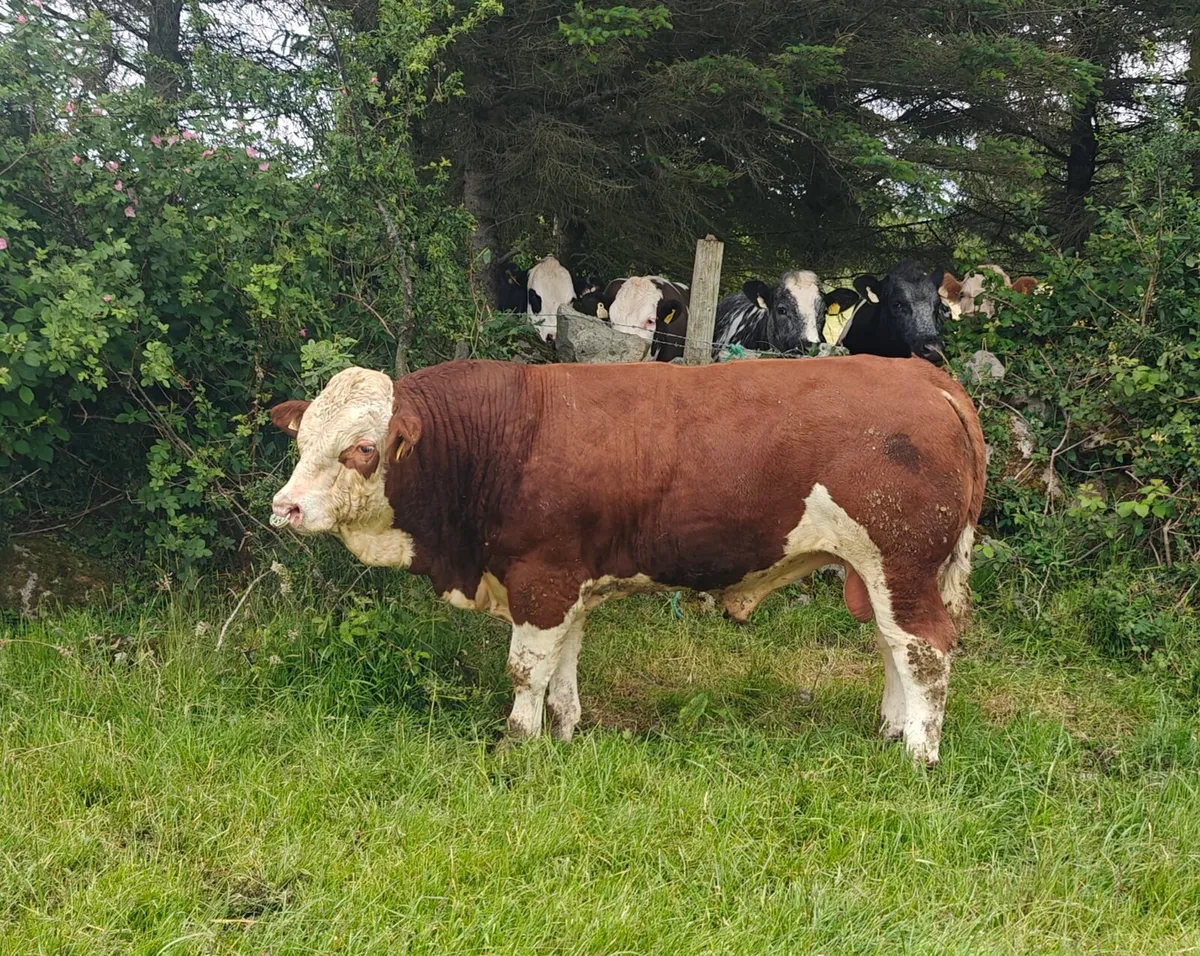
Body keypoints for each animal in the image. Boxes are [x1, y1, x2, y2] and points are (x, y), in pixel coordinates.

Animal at [268, 356, 986, 766]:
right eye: (302, 442)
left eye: (362, 448)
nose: (287, 506)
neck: (499, 438)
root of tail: (924, 375)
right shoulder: (568, 580)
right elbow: (563, 664)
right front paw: (564, 729)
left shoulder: (542, 577)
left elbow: (526, 668)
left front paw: (518, 741)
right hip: (878, 570)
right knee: (892, 644)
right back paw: (892, 730)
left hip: (900, 561)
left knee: (924, 649)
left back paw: (919, 754)